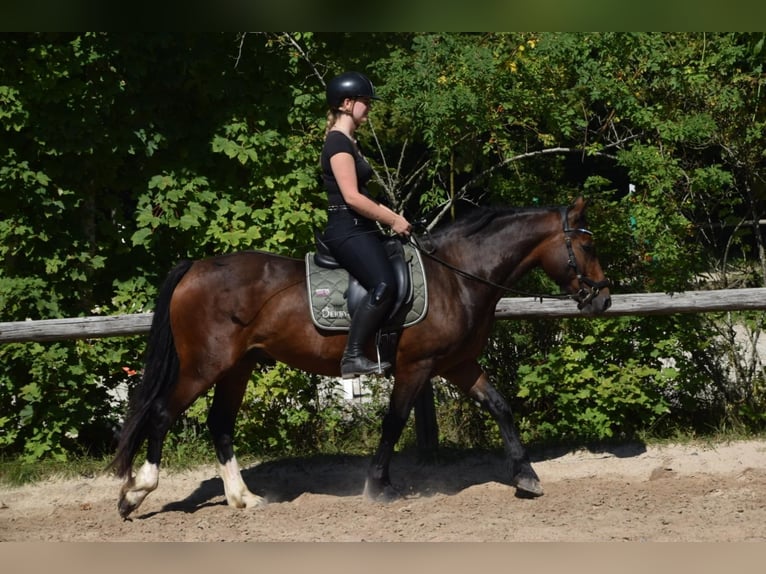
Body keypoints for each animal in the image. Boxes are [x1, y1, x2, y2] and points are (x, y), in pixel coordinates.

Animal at [111, 198, 612, 520]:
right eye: (588, 247)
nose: (603, 300)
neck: (458, 277)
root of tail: (194, 268)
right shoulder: (417, 366)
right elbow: (394, 421)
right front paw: (379, 486)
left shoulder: (458, 364)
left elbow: (501, 407)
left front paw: (526, 477)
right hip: (204, 366)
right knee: (161, 413)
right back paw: (136, 494)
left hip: (237, 367)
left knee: (219, 423)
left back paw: (243, 499)